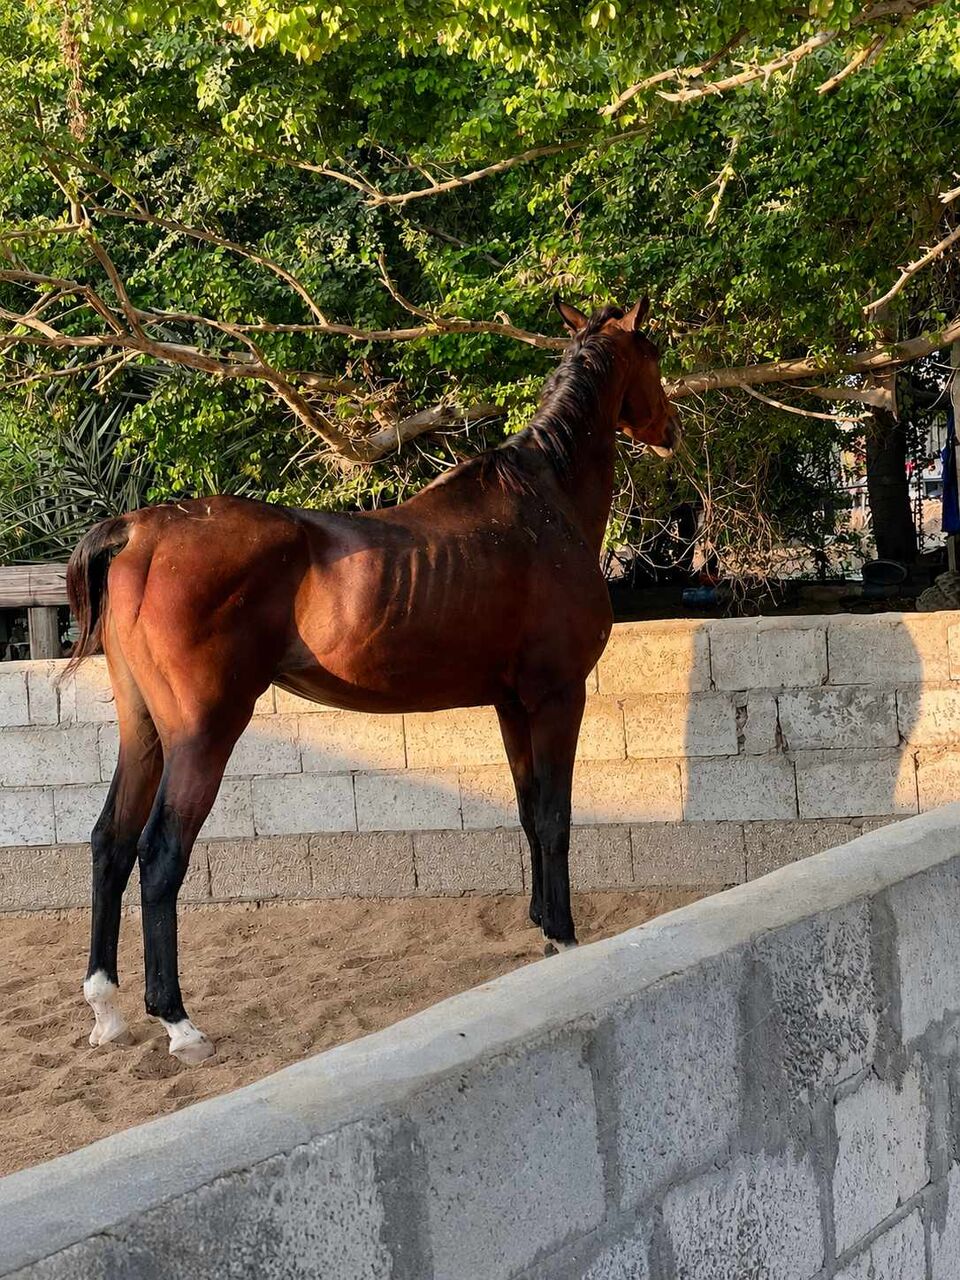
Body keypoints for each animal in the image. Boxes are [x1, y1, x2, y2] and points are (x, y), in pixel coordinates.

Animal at [65, 295, 677, 1063]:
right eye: (653, 355)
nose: (671, 431)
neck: (544, 506)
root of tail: (139, 532)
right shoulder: (557, 698)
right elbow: (556, 816)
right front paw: (564, 938)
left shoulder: (512, 706)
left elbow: (529, 810)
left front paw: (541, 920)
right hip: (203, 735)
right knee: (159, 855)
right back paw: (178, 1022)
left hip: (143, 729)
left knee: (109, 843)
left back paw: (107, 1009)